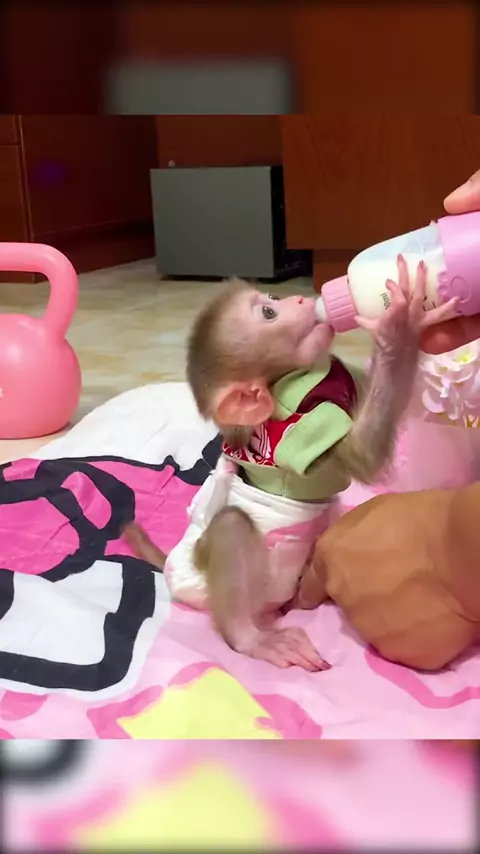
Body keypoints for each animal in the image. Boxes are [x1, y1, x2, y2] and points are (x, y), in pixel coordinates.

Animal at [125, 255, 458, 671]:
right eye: (269, 313)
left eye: (272, 298)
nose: (301, 300)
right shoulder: (298, 415)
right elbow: (361, 456)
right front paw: (398, 326)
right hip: (220, 577)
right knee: (231, 526)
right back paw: (252, 639)